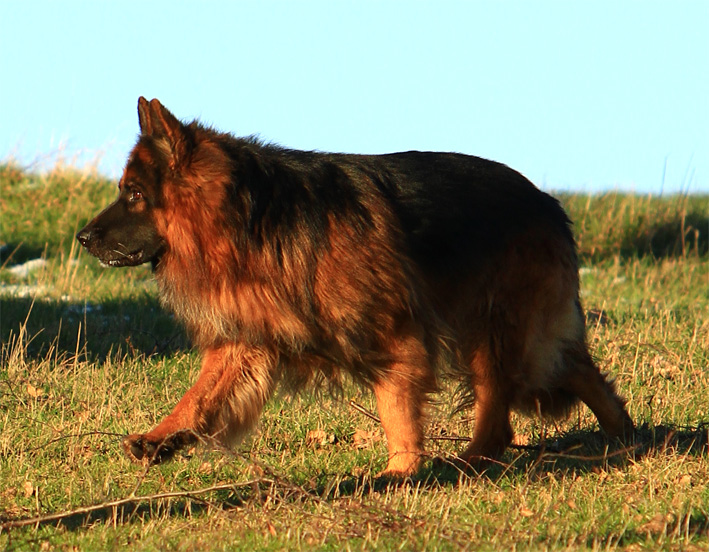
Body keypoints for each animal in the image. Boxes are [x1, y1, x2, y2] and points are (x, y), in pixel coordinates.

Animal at [76, 97, 634, 477]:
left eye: (133, 194)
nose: (82, 237)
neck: (252, 222)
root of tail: (547, 201)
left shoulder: (394, 334)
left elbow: (396, 406)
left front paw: (402, 472)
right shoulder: (247, 342)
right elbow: (199, 397)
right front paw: (162, 438)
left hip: (494, 328)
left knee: (508, 400)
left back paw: (476, 459)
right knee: (573, 369)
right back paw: (623, 434)